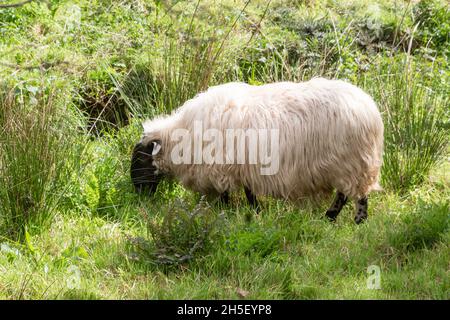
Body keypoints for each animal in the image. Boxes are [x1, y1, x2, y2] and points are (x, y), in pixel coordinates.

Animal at [131, 78, 384, 224]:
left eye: (141, 159)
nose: (139, 194)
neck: (181, 136)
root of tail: (370, 109)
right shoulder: (243, 167)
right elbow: (249, 192)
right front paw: (256, 211)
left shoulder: (222, 168)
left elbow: (228, 194)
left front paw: (227, 212)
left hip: (350, 163)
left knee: (353, 195)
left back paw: (345, 219)